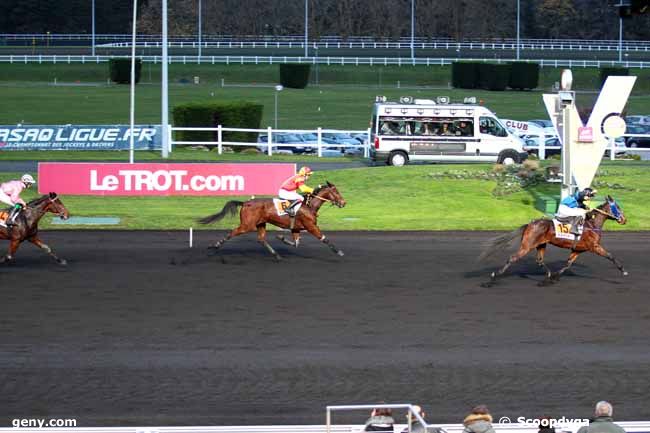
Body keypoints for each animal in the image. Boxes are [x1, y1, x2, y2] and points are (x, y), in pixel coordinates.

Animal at [197, 181, 346, 258]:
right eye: (336, 192)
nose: (343, 203)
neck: (309, 205)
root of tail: (245, 203)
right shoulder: (311, 226)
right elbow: (324, 239)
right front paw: (339, 251)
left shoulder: (296, 228)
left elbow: (296, 243)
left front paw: (281, 237)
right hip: (247, 225)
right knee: (232, 232)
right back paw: (215, 245)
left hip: (261, 223)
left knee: (261, 239)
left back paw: (276, 255)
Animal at [478, 195, 624, 284]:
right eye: (618, 207)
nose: (624, 219)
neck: (591, 225)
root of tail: (530, 224)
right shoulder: (594, 246)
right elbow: (610, 256)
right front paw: (623, 271)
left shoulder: (579, 249)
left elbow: (568, 264)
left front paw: (555, 276)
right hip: (527, 246)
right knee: (512, 258)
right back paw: (494, 276)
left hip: (541, 244)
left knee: (539, 260)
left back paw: (548, 275)